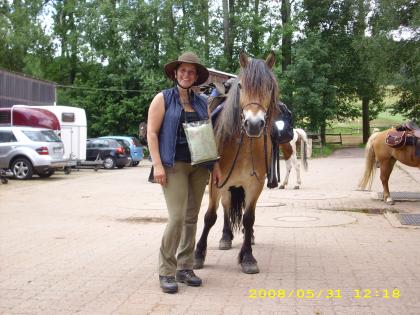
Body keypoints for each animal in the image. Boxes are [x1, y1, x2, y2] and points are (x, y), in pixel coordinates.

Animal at [194, 51, 278, 274]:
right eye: (241, 85)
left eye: (269, 86)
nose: (254, 124)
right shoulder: (217, 182)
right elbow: (210, 216)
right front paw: (198, 254)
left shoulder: (255, 184)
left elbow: (249, 218)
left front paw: (247, 257)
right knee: (225, 206)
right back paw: (225, 237)